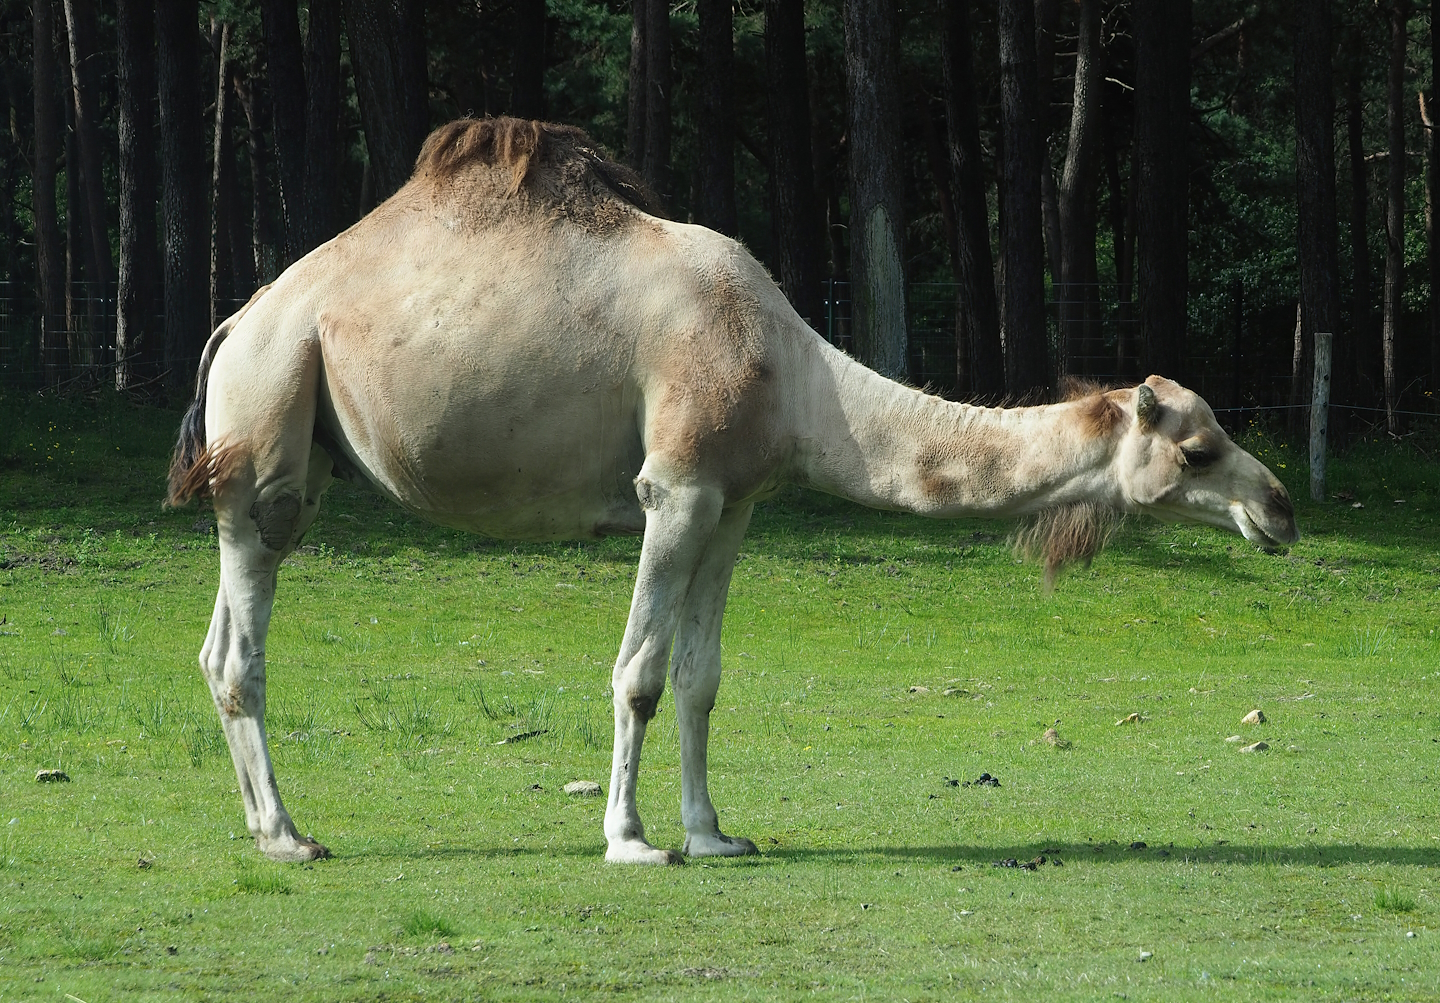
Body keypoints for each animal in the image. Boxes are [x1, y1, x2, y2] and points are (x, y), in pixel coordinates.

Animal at [168, 118, 1298, 865]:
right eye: (1200, 450)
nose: (1279, 508)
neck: (792, 371)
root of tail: (233, 321)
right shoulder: (674, 485)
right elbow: (639, 671)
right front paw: (631, 841)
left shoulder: (736, 498)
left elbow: (702, 676)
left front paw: (714, 834)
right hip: (268, 422)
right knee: (241, 644)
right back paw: (290, 836)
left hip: (290, 438)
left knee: (216, 642)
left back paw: (268, 825)